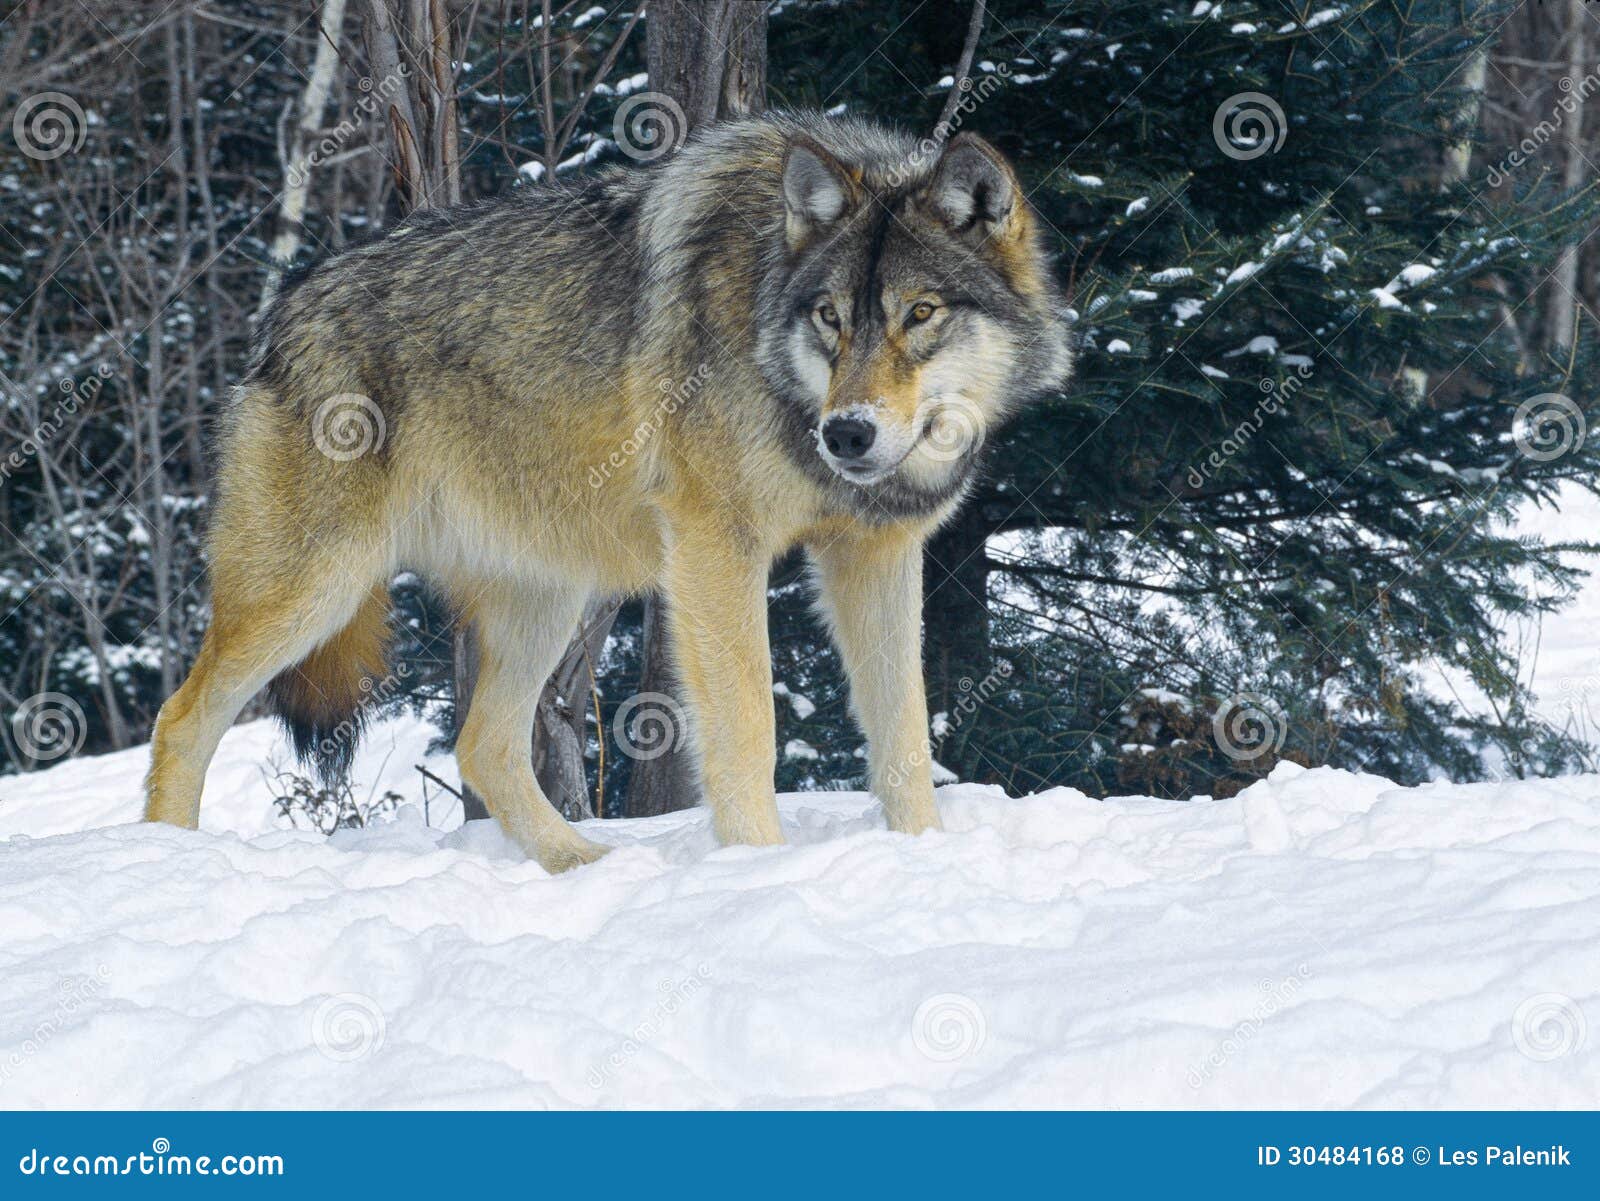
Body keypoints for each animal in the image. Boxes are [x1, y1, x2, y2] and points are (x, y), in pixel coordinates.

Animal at [144, 111, 1074, 870]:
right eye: (831, 319)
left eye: (920, 313)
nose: (845, 433)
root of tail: (280, 313)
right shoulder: (715, 547)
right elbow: (749, 730)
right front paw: (761, 870)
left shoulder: (876, 554)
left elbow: (905, 735)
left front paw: (922, 859)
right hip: (313, 592)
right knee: (180, 719)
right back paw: (165, 863)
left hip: (546, 599)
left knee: (484, 747)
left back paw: (581, 864)